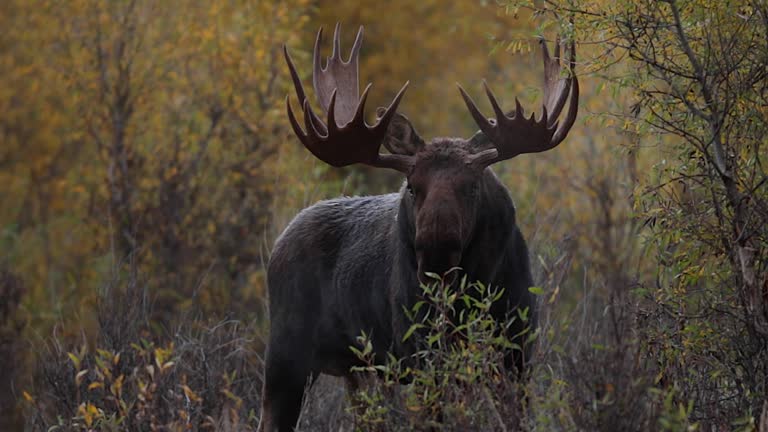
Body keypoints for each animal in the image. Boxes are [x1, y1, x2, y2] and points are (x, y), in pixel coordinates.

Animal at [258, 24, 578, 432]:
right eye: (412, 186)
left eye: (472, 185)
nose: (435, 249)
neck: (469, 288)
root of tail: (280, 242)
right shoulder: (421, 352)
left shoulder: (517, 352)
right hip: (285, 355)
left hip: (354, 369)